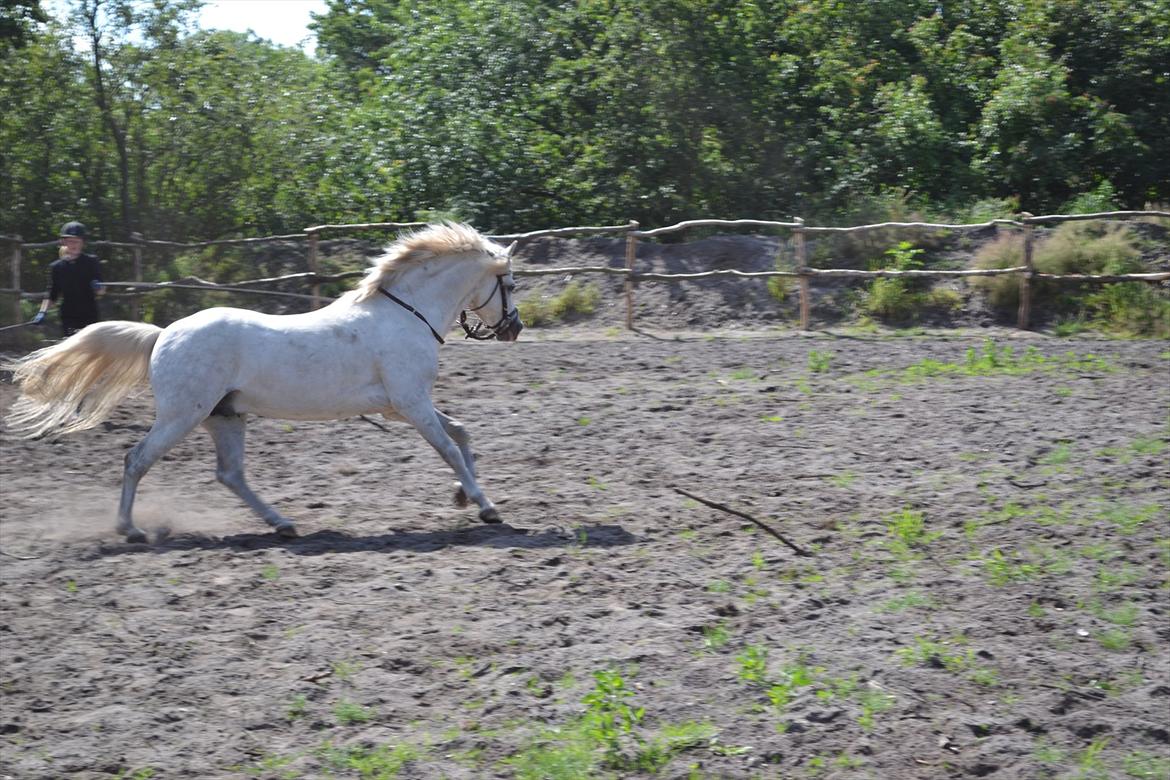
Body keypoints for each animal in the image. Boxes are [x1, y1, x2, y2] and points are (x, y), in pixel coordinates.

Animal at [4, 223, 523, 543]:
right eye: (512, 284)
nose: (514, 329)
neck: (406, 314)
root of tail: (163, 335)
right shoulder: (410, 403)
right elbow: (449, 446)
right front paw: (485, 504)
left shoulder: (400, 406)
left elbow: (460, 434)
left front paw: (466, 497)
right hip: (182, 416)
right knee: (137, 460)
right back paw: (130, 530)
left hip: (225, 417)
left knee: (230, 474)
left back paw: (284, 524)